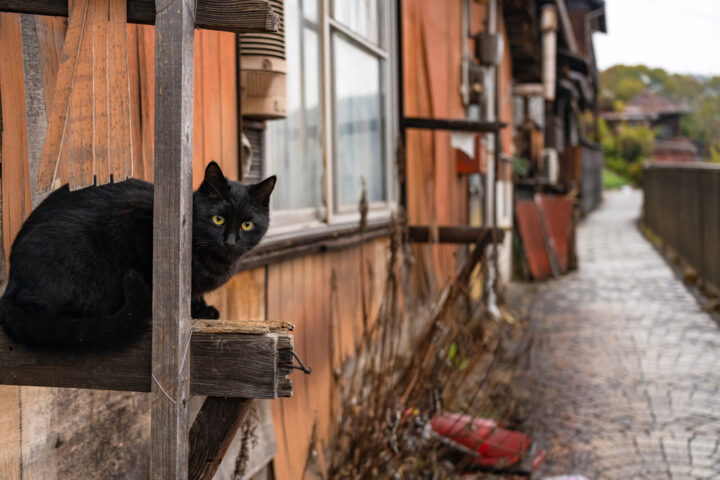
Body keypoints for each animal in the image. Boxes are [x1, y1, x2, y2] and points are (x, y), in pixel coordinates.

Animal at [0, 161, 274, 348]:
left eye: (247, 224)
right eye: (218, 219)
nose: (230, 242)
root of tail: (12, 280)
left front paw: (201, 309)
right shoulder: (135, 224)